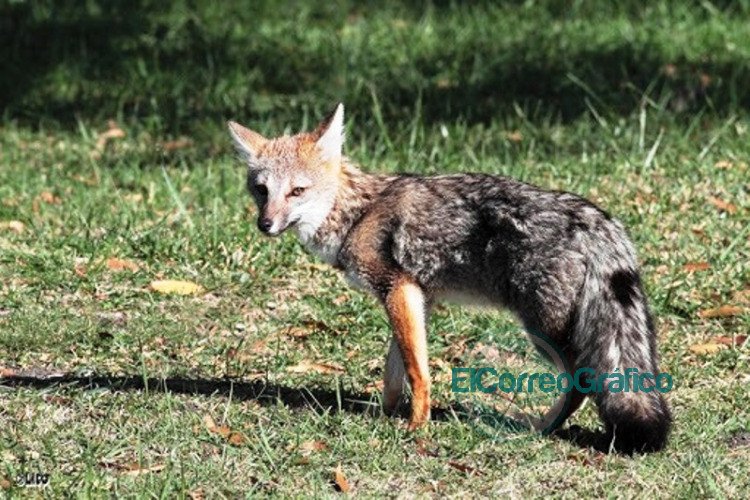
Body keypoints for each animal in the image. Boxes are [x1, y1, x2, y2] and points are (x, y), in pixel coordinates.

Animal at [227, 103, 672, 453]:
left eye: (297, 191)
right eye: (261, 190)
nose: (265, 224)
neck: (357, 212)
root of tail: (597, 220)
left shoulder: (398, 290)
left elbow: (417, 372)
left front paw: (415, 427)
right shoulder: (414, 296)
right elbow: (395, 370)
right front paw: (387, 415)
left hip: (543, 332)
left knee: (580, 384)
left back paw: (535, 428)